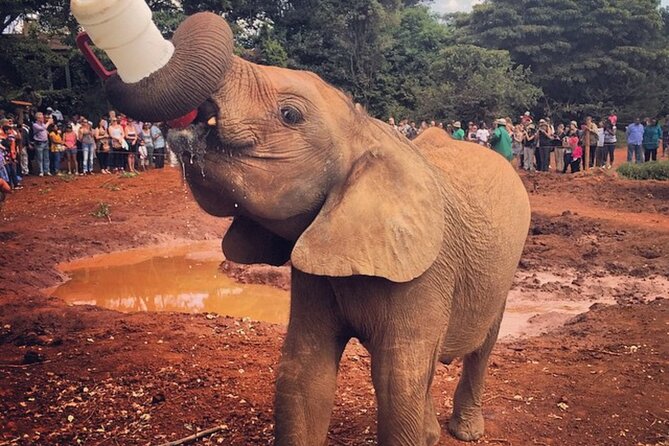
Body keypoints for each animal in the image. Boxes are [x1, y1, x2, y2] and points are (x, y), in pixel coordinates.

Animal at [86, 11, 531, 445]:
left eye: (290, 114)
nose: (98, 49)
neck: (369, 131)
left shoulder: (425, 271)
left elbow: (397, 384)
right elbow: (304, 373)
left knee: (482, 346)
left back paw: (466, 431)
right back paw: (433, 433)